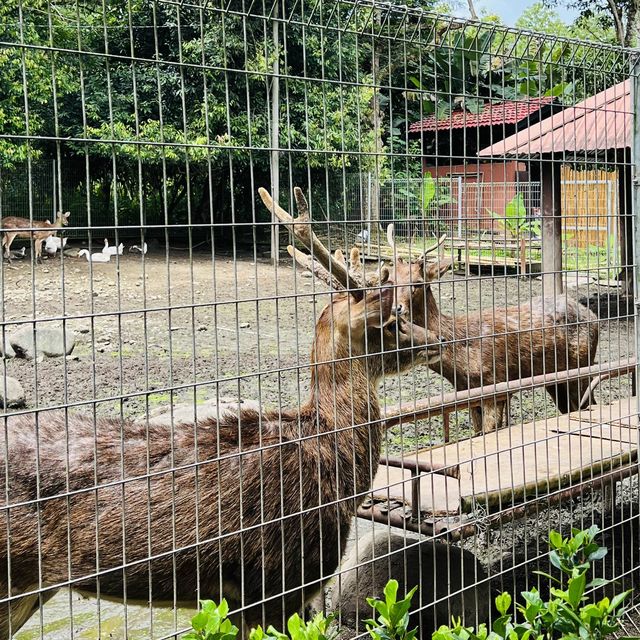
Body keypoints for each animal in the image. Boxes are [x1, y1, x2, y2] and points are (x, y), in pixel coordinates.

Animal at [384, 226, 600, 436]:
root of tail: (593, 315)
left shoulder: (495, 384)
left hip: (582, 364)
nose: (396, 308)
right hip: (556, 380)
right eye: (390, 281)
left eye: (418, 282)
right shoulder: (467, 394)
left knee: (589, 403)